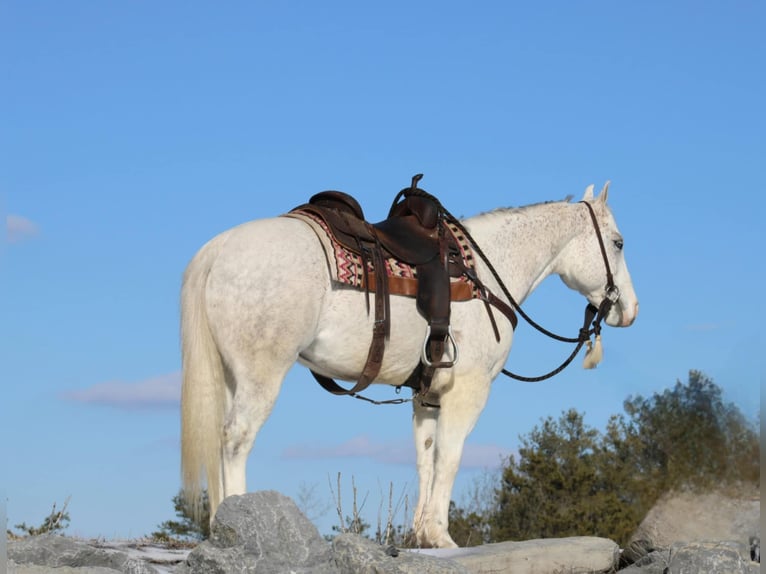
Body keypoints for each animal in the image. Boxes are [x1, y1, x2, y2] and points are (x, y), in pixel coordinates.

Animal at [180, 182, 636, 552]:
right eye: (617, 243)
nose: (629, 310)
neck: (485, 274)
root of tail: (219, 249)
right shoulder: (468, 391)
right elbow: (450, 457)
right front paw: (441, 535)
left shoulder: (428, 396)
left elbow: (425, 458)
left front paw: (421, 535)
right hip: (261, 375)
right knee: (235, 439)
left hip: (230, 377)